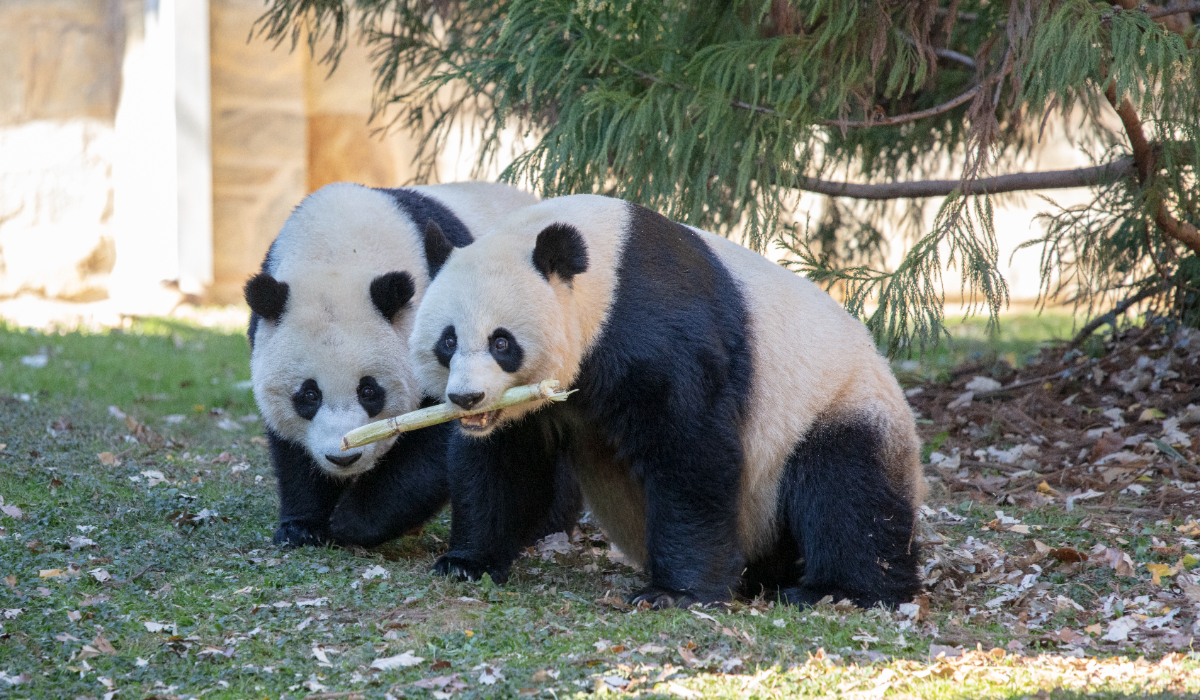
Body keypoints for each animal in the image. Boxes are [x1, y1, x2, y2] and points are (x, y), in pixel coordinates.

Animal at [246, 181, 579, 548]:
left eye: (369, 391)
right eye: (308, 395)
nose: (343, 458)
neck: (337, 252)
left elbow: (436, 444)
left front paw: (352, 520)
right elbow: (291, 448)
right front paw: (301, 526)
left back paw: (544, 528)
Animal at [409, 194, 925, 609]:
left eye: (501, 342)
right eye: (448, 341)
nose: (467, 398)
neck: (603, 274)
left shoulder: (654, 327)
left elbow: (689, 448)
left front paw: (673, 593)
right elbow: (502, 462)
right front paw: (466, 562)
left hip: (833, 403)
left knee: (847, 488)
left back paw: (839, 589)